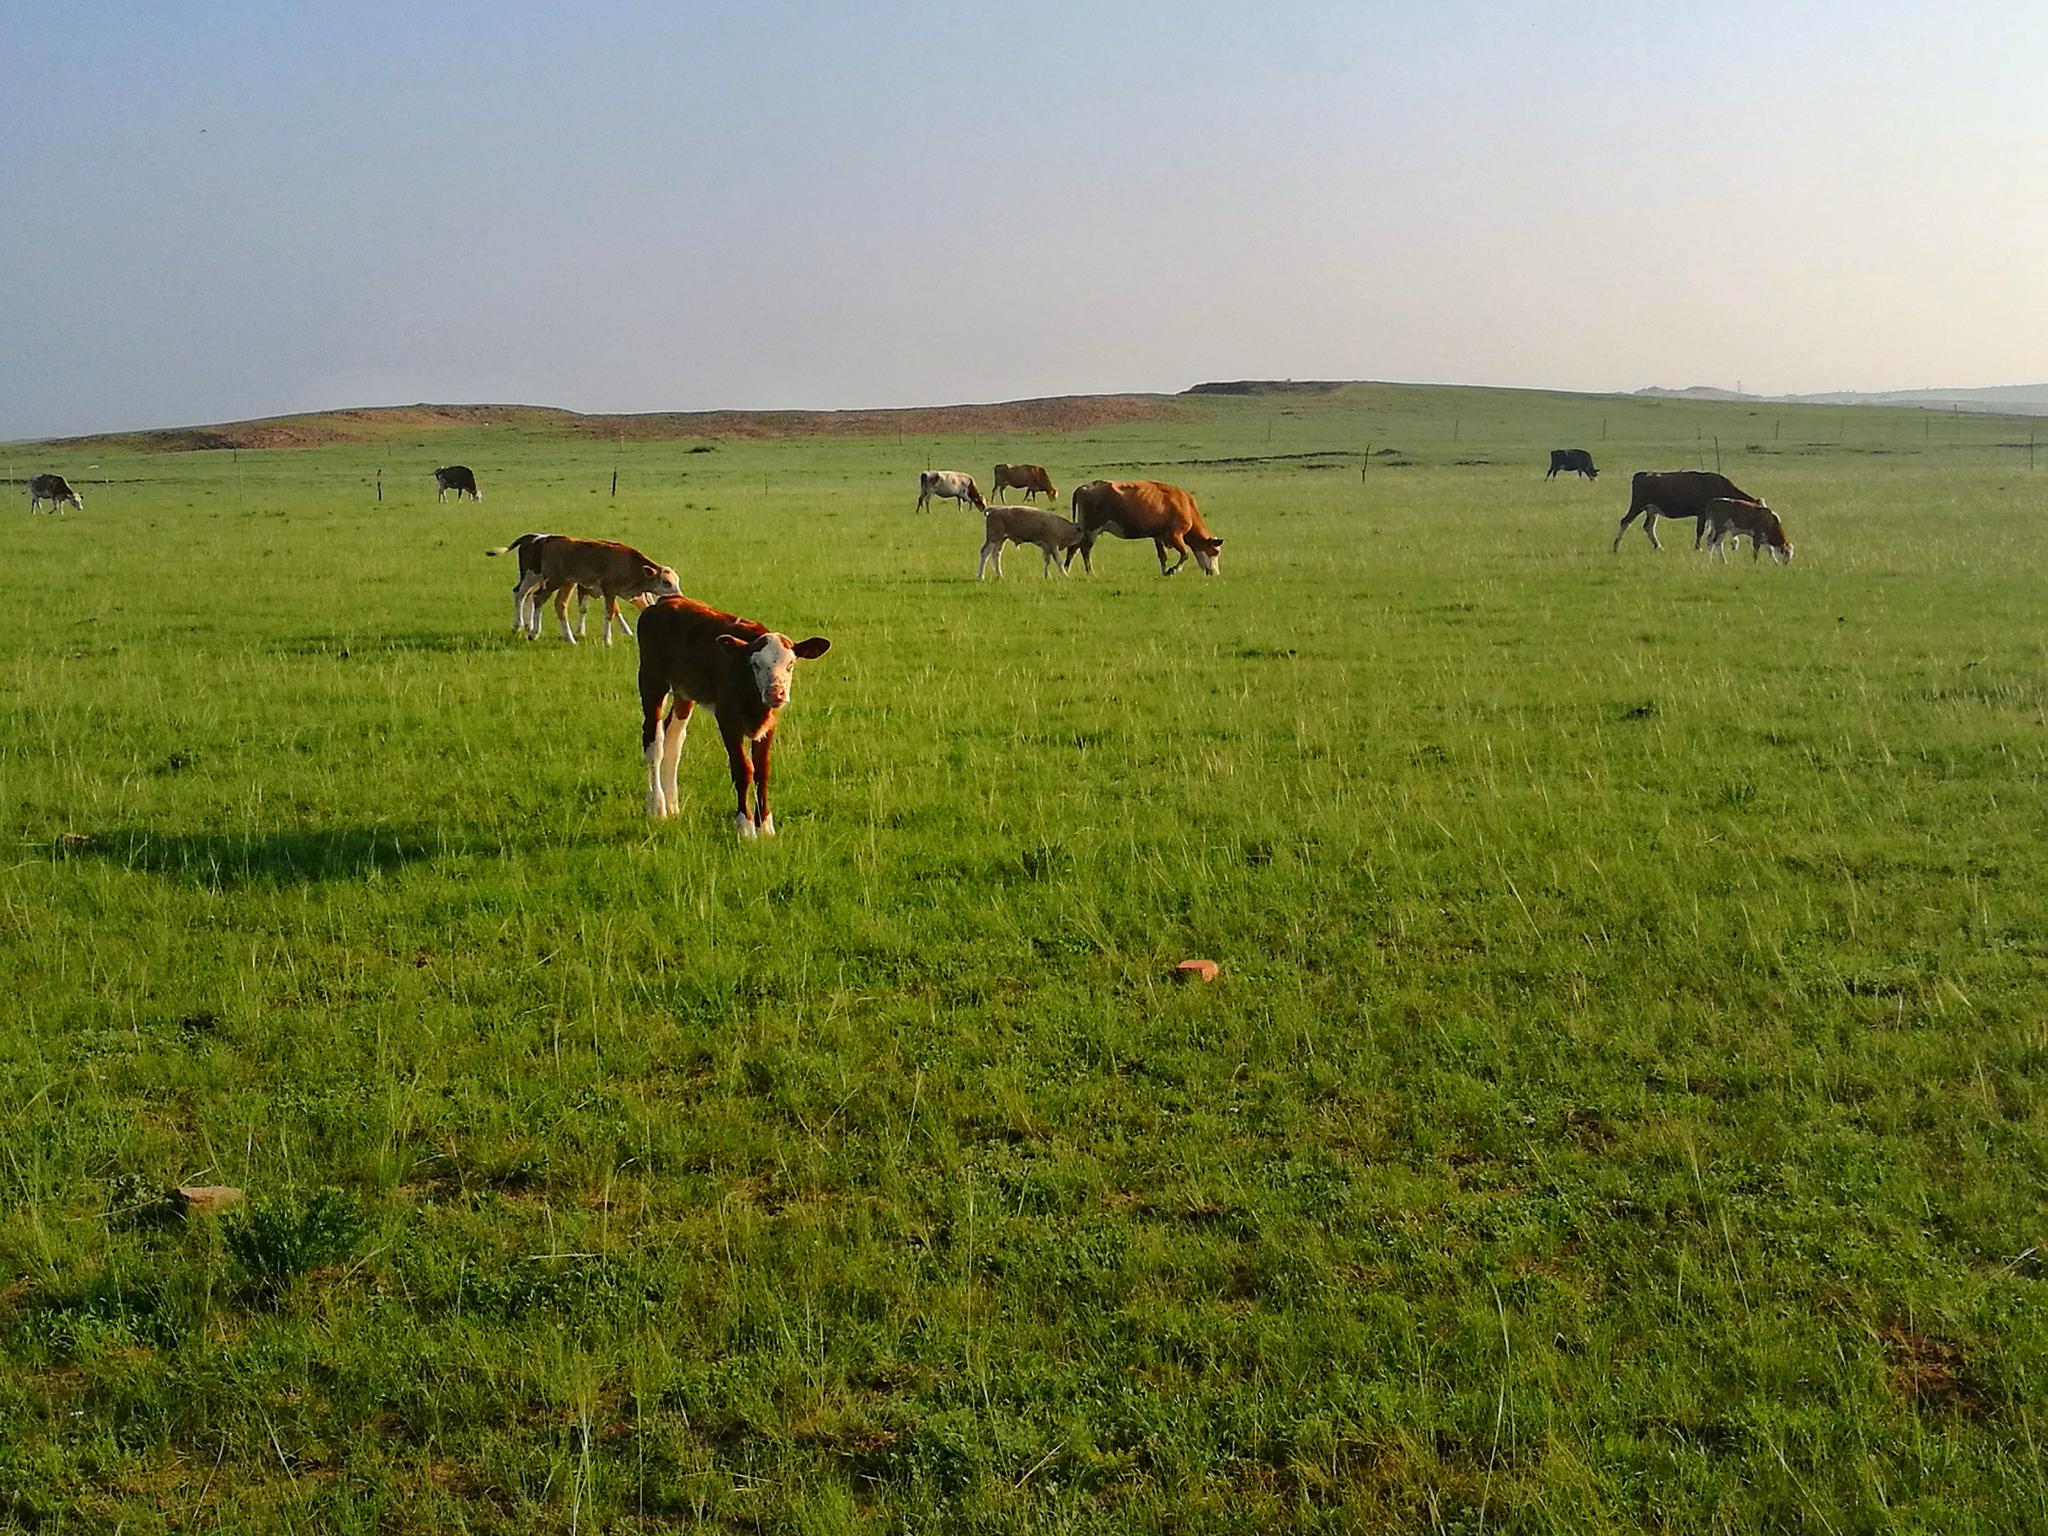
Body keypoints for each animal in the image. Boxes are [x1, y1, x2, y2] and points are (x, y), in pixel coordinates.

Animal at [479, 536, 679, 643]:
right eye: (666, 582)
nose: (680, 596)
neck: (628, 563)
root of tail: (548, 539)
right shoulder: (608, 589)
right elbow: (609, 613)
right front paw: (607, 639)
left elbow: (610, 611)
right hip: (547, 580)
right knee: (533, 597)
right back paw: (531, 630)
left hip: (555, 582)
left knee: (535, 598)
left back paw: (534, 629)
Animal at [638, 602, 831, 843]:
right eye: (756, 664)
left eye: (791, 664)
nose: (775, 693)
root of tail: (661, 604)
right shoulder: (727, 720)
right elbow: (743, 770)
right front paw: (745, 826)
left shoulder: (769, 724)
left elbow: (762, 770)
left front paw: (765, 826)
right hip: (651, 680)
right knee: (653, 741)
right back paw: (657, 805)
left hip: (684, 692)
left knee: (673, 739)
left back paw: (672, 804)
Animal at [1064, 481, 1220, 577]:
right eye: (1216, 551)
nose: (1216, 573)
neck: (1186, 505)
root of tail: (1083, 488)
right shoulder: (1174, 535)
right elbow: (1185, 553)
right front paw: (1173, 570)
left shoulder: (1158, 536)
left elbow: (1162, 556)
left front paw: (1165, 571)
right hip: (1092, 529)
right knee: (1085, 550)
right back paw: (1090, 572)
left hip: (1084, 529)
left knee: (1073, 548)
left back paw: (1066, 569)